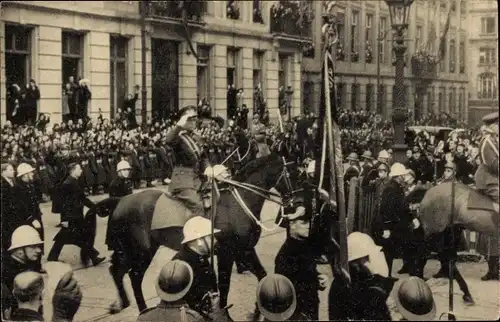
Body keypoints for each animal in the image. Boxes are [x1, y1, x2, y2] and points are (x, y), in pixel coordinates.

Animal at [96, 153, 300, 314]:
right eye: (294, 172)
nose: (297, 202)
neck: (238, 204)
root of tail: (121, 200)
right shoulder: (227, 253)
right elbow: (224, 288)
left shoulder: (245, 250)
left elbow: (263, 276)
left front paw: (259, 311)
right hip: (141, 252)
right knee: (134, 277)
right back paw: (141, 309)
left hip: (130, 250)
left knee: (117, 271)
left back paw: (122, 304)